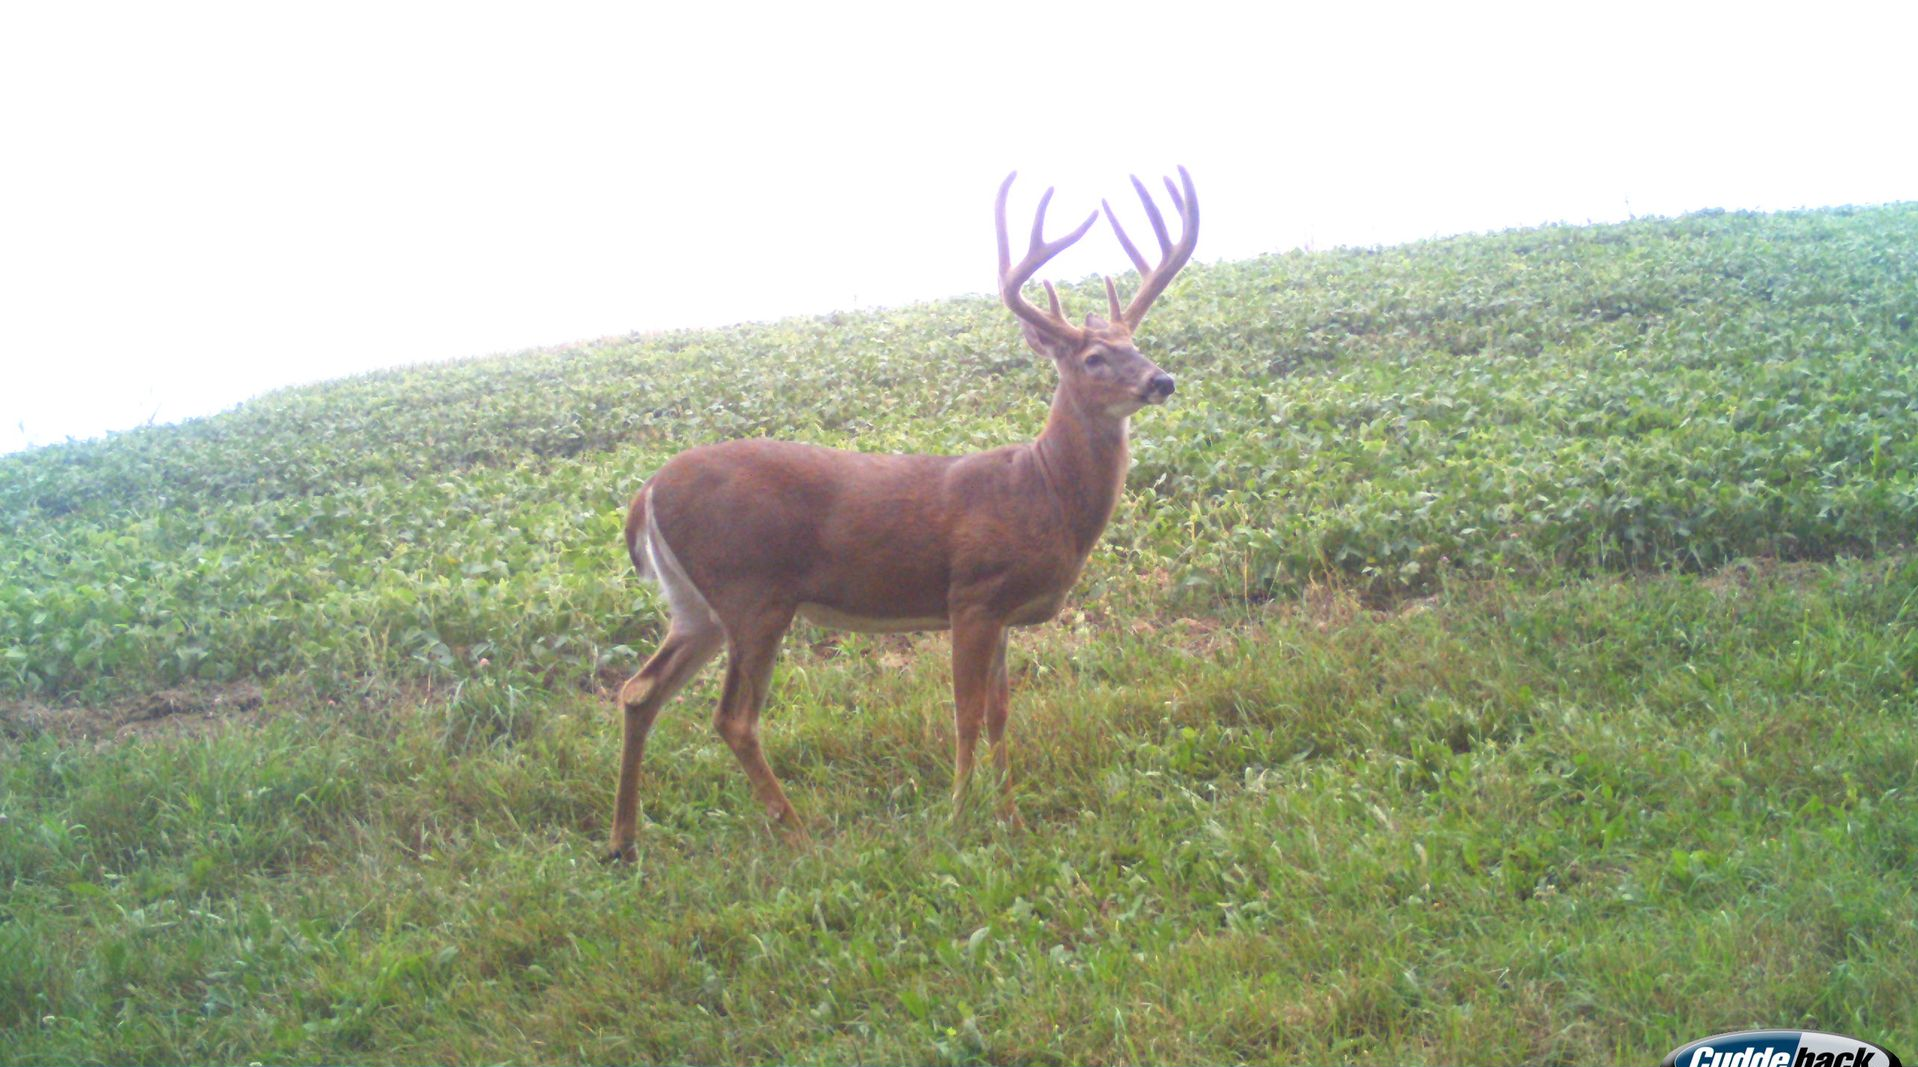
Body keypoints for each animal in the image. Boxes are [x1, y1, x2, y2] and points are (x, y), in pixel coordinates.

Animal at [606, 168, 1198, 862]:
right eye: (1092, 359)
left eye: (1135, 343)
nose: (1162, 380)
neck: (1043, 489)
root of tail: (646, 492)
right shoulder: (972, 594)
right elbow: (965, 712)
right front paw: (958, 817)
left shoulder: (1003, 614)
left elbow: (1001, 713)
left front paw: (1012, 819)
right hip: (751, 594)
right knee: (733, 717)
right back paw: (797, 831)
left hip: (695, 607)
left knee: (640, 691)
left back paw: (624, 842)